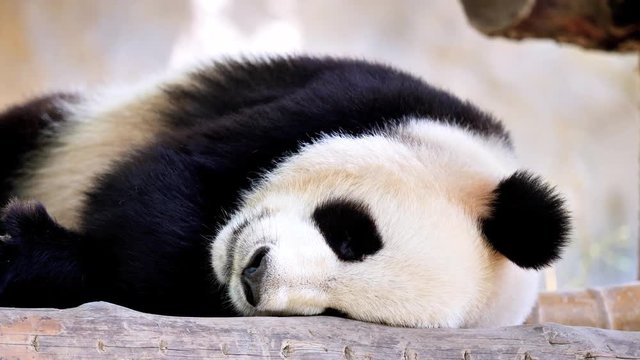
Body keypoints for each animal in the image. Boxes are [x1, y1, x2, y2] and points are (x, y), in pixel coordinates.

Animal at [0, 54, 568, 328]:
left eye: (337, 315)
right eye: (351, 236)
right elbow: (163, 181)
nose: (255, 275)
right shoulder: (351, 100)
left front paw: (33, 251)